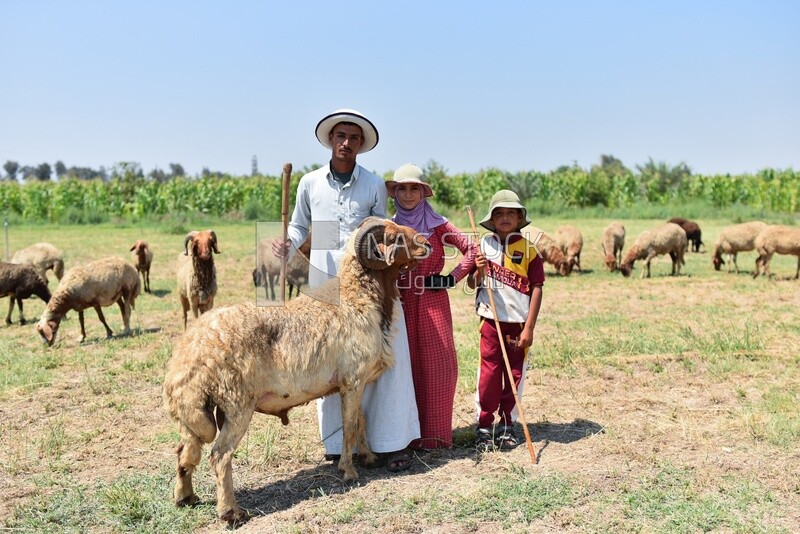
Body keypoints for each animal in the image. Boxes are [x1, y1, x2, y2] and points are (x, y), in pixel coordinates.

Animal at [164, 219, 432, 528]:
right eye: (392, 237)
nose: (427, 244)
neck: (357, 299)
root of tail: (188, 355)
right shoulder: (352, 380)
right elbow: (350, 424)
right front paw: (348, 471)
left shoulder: (356, 381)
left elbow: (361, 420)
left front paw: (369, 457)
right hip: (236, 405)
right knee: (219, 456)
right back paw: (231, 512)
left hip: (200, 410)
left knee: (185, 450)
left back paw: (185, 497)